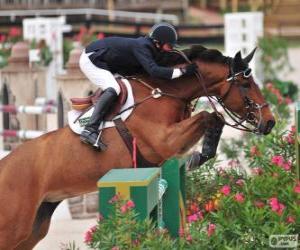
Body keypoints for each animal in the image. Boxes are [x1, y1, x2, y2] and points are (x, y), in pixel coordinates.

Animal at [0, 45, 276, 250]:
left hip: (33, 228)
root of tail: (4, 166)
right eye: (246, 85)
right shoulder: (163, 140)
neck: (164, 92)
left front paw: (200, 156)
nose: (270, 122)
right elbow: (210, 116)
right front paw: (199, 156)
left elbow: (214, 118)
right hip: (14, 227)